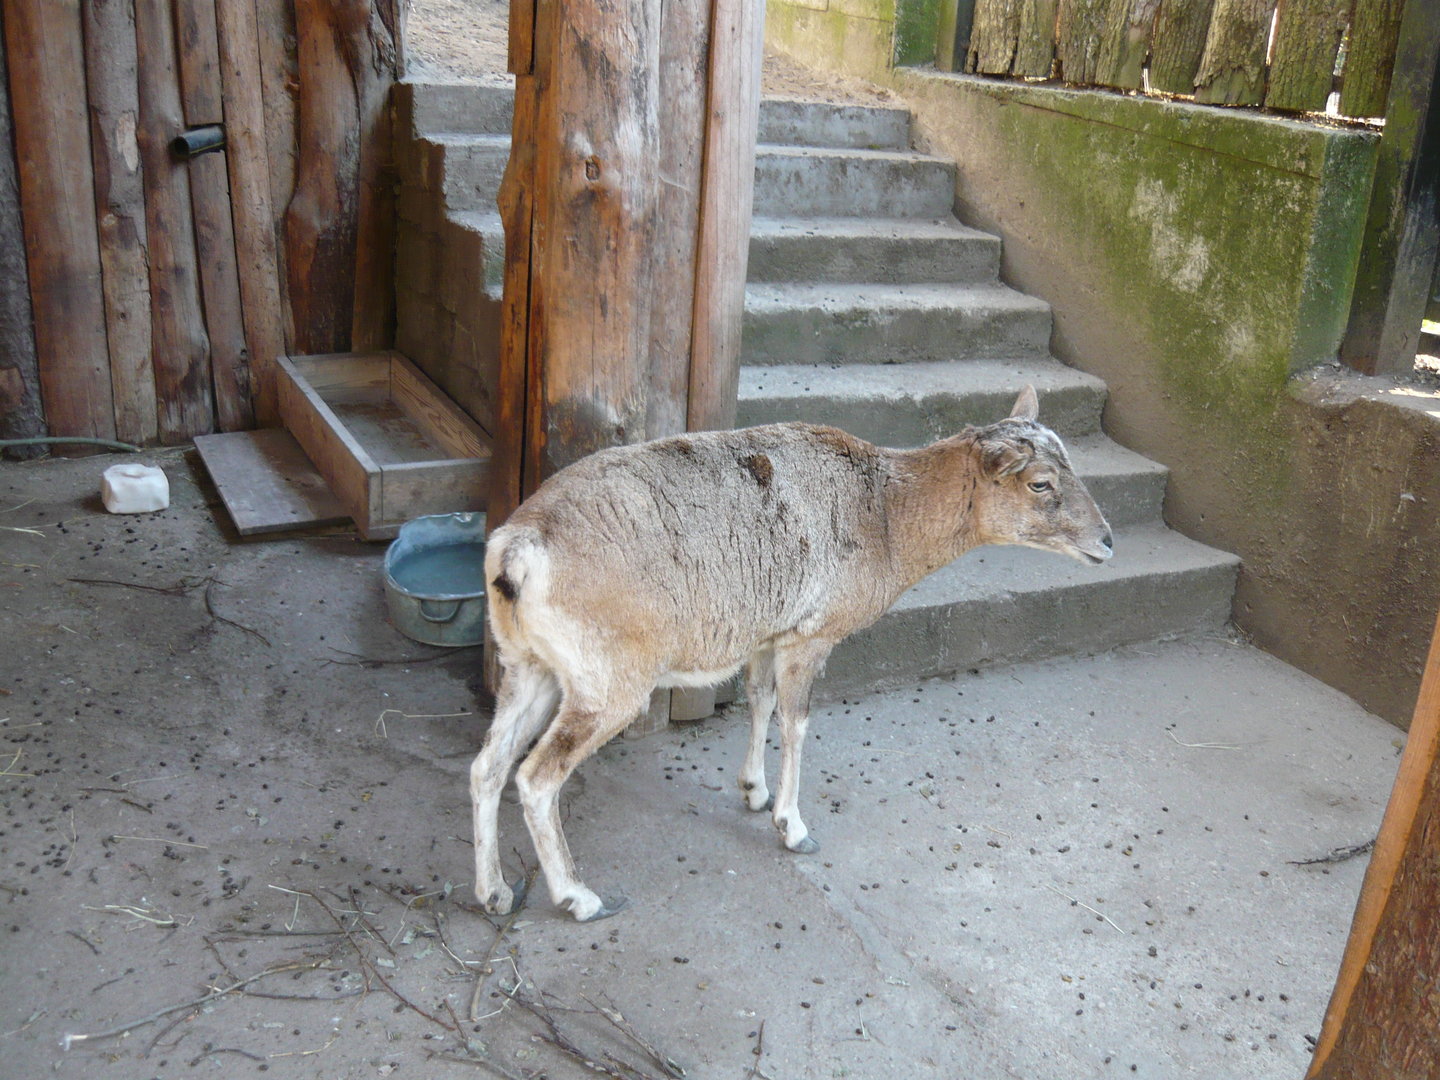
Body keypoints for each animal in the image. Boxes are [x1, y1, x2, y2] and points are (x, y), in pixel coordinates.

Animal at [470, 386, 1112, 921]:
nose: (1106, 541)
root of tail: (518, 552)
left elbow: (758, 701)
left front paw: (752, 792)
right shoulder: (813, 636)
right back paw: (580, 898)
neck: (885, 516)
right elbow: (796, 721)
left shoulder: (768, 635)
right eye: (1039, 483)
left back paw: (495, 892)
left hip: (529, 666)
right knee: (536, 777)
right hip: (607, 685)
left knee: (488, 766)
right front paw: (793, 827)